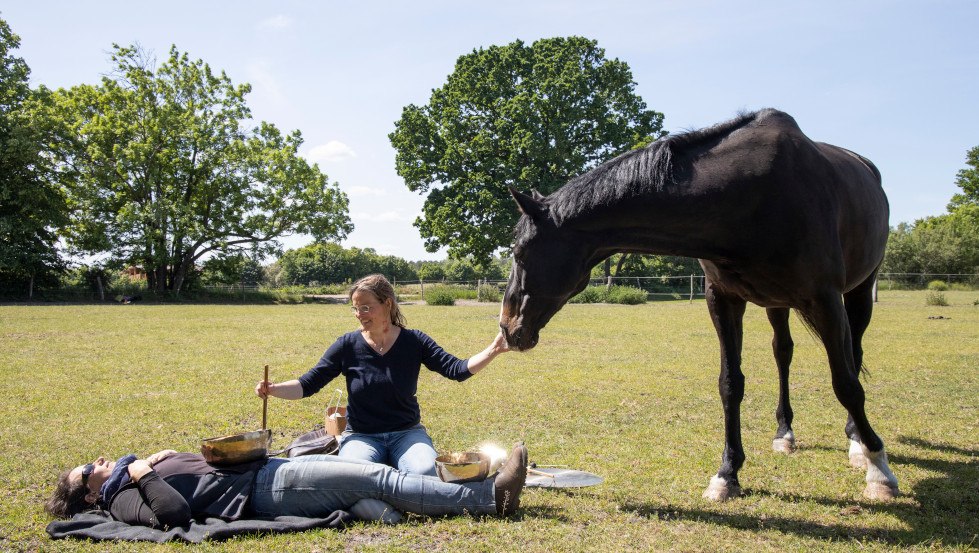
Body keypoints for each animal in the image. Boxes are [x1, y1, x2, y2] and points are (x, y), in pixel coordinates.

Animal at [500, 108, 899, 501]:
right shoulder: (722, 300)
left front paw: (878, 468)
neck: (752, 196)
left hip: (858, 292)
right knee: (783, 353)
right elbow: (730, 384)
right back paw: (784, 433)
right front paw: (728, 473)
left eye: (518, 253)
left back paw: (856, 443)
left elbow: (846, 383)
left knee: (853, 354)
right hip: (777, 303)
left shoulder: (824, 299)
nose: (507, 328)